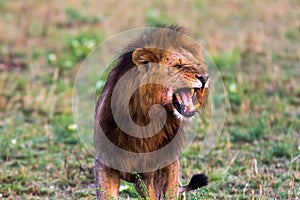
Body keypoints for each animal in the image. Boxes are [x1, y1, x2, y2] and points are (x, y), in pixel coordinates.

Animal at [95, 25, 210, 199]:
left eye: (197, 64)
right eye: (178, 66)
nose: (205, 77)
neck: (148, 119)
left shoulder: (163, 166)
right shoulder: (105, 165)